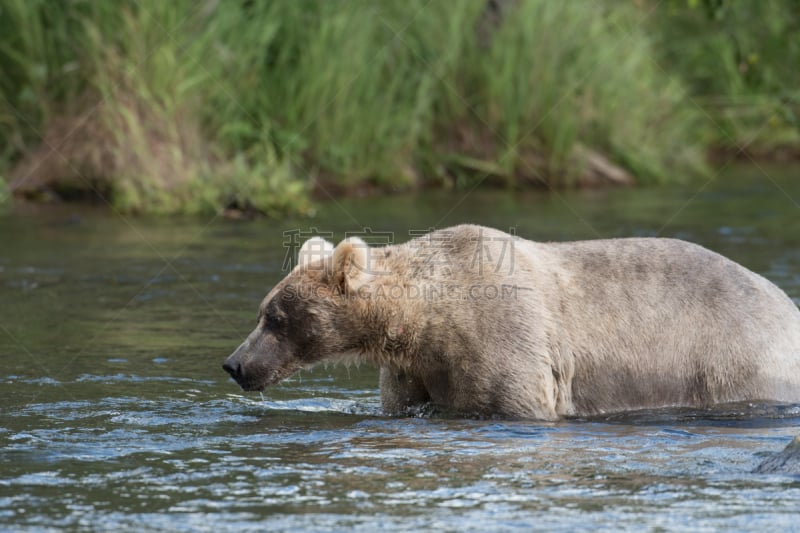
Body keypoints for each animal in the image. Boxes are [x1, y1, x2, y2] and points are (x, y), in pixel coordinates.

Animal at [222, 222, 800, 418]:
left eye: (274, 317)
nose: (234, 363)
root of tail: (787, 304)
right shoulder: (414, 369)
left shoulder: (505, 341)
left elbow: (517, 399)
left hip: (732, 358)